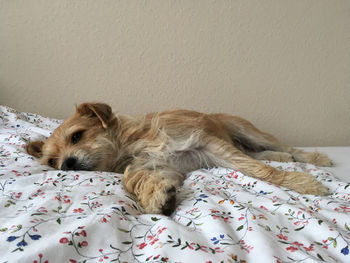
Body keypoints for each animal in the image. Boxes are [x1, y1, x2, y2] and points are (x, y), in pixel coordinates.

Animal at [28, 103, 334, 217]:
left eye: (77, 136)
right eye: (52, 161)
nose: (66, 164)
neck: (132, 146)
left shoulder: (207, 143)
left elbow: (259, 170)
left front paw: (301, 182)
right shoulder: (164, 167)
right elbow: (136, 180)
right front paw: (157, 195)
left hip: (247, 131)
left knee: (278, 148)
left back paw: (313, 156)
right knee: (257, 152)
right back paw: (281, 156)